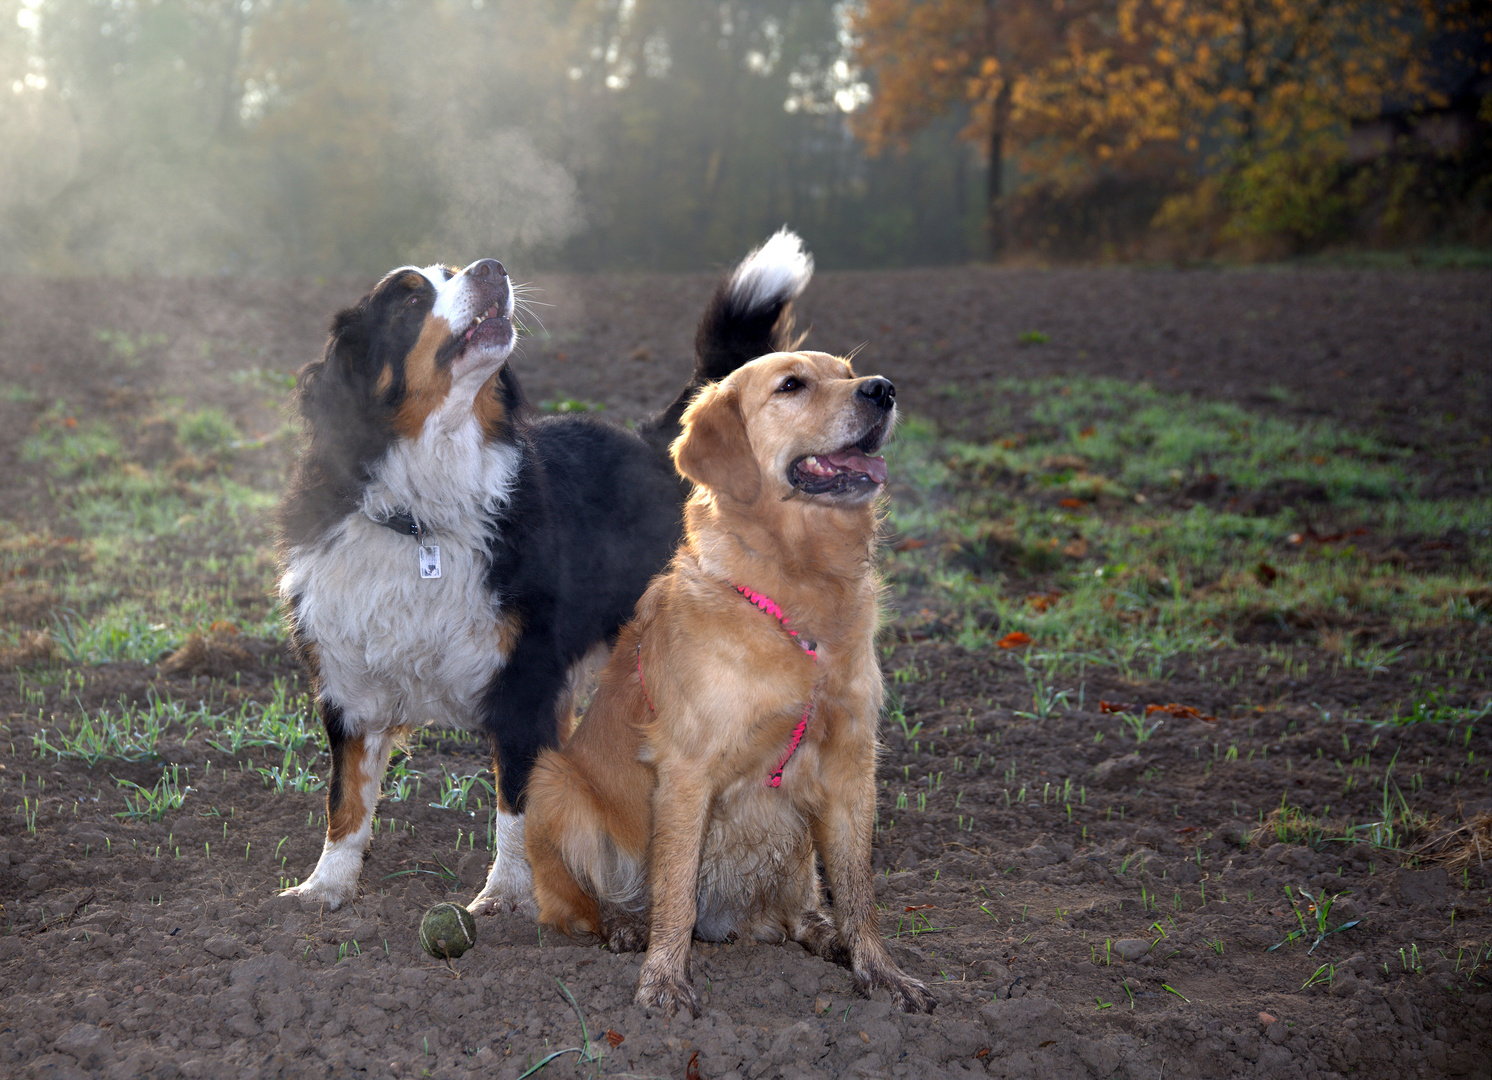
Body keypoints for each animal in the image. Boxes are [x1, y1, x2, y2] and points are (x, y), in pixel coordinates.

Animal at [280, 232, 817, 912]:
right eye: (409, 299)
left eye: (453, 272)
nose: (492, 268)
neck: (424, 515)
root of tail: (652, 441)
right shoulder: (349, 682)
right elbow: (345, 800)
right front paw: (326, 886)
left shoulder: (524, 683)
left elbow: (515, 805)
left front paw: (510, 896)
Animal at [519, 350, 925, 1014]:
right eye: (792, 385)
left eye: (846, 372)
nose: (883, 390)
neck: (800, 595)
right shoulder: (688, 768)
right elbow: (677, 890)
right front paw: (663, 980)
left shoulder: (851, 763)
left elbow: (858, 891)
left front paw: (881, 974)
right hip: (554, 783)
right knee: (584, 906)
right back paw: (624, 924)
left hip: (796, 845)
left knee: (799, 906)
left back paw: (822, 934)